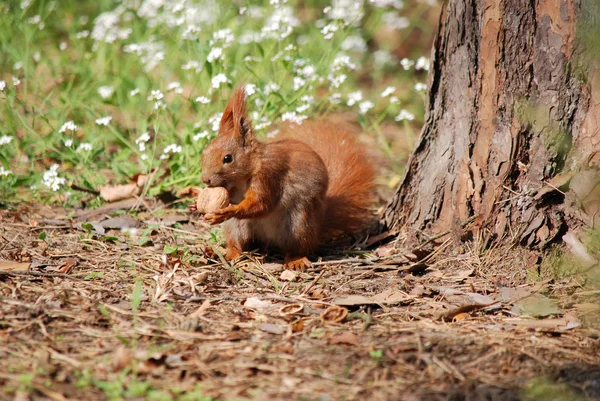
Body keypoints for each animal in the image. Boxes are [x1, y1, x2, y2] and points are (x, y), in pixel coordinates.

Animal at [199, 86, 372, 270]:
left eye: (227, 158)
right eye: (204, 152)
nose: (205, 180)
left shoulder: (268, 176)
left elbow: (261, 204)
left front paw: (229, 210)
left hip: (299, 225)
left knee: (298, 247)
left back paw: (295, 259)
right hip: (237, 227)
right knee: (238, 245)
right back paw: (226, 253)